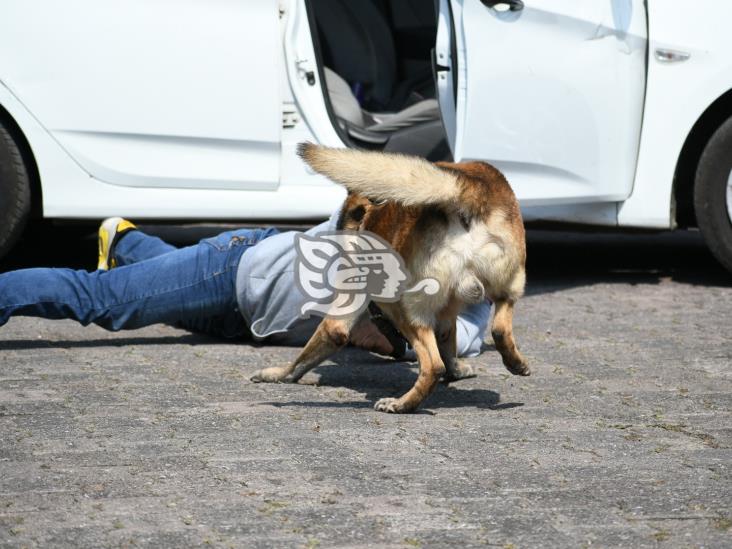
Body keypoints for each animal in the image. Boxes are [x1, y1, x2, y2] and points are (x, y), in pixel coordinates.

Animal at [250, 142, 528, 412]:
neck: (368, 210)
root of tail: (467, 190)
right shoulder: (447, 315)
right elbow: (448, 343)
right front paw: (458, 370)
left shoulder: (342, 314)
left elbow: (311, 351)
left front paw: (277, 374)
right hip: (508, 286)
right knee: (500, 328)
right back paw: (516, 363)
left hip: (402, 307)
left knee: (432, 365)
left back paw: (402, 404)